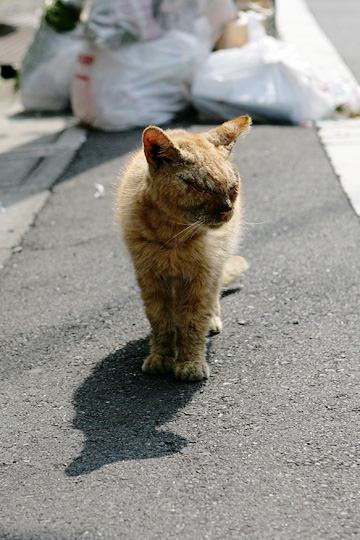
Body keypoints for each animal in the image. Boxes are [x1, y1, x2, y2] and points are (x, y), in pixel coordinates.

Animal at [115, 116, 250, 382]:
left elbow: (193, 322)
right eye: (200, 187)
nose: (227, 209)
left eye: (232, 188)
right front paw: (161, 357)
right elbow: (160, 321)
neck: (173, 237)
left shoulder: (202, 278)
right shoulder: (151, 278)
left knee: (211, 300)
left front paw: (190, 363)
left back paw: (212, 320)